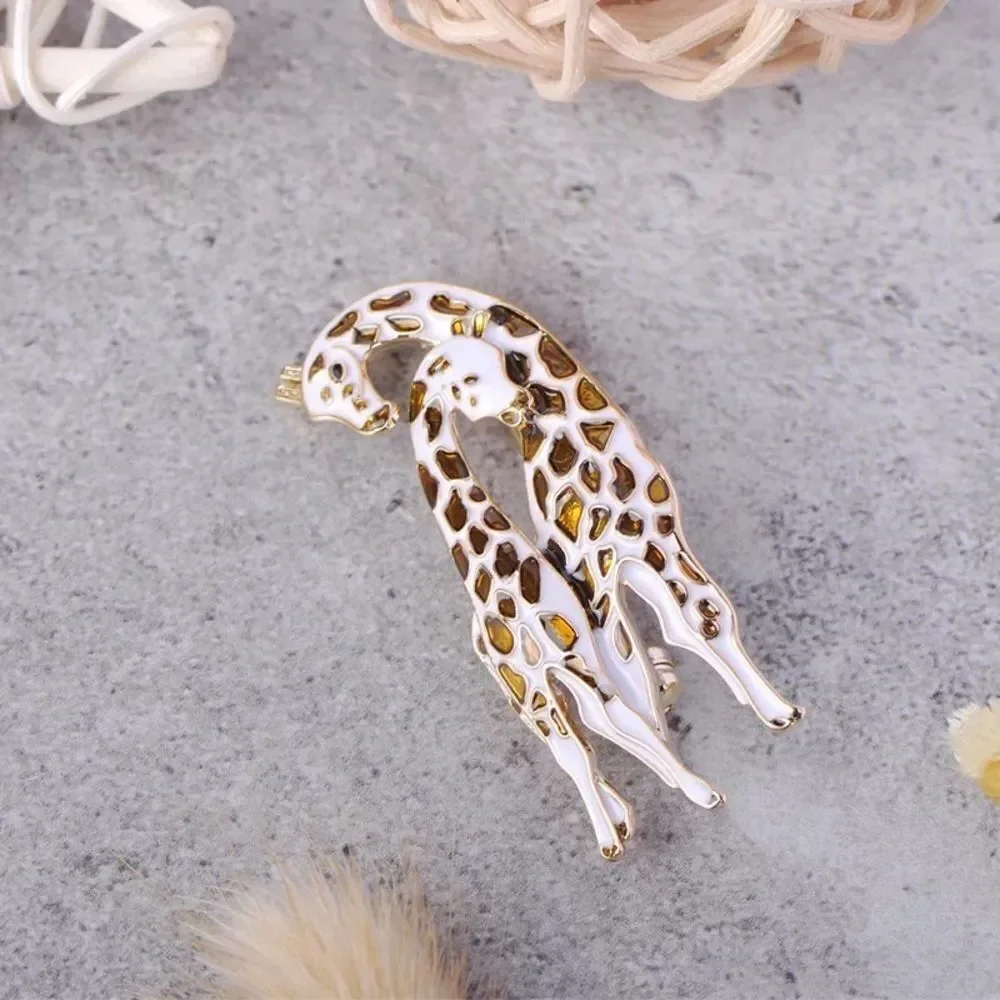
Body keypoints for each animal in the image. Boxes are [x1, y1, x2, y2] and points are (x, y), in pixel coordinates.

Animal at [277, 282, 802, 735]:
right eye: (332, 388)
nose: (379, 416)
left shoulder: (657, 537)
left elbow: (707, 618)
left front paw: (778, 710)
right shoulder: (586, 569)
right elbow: (636, 677)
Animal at [405, 337, 722, 857]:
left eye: (505, 367)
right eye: (470, 379)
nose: (521, 404)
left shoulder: (580, 657)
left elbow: (623, 719)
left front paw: (697, 790)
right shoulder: (528, 685)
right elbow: (577, 752)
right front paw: (611, 839)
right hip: (523, 690)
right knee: (578, 741)